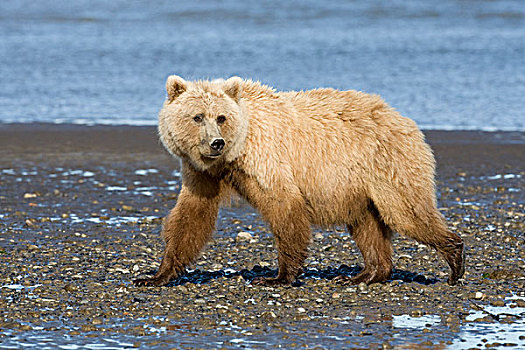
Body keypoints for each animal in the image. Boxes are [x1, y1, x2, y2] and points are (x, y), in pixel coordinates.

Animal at [133, 75, 464, 286]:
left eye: (221, 117)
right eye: (198, 116)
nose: (216, 143)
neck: (234, 153)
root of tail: (404, 120)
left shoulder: (266, 158)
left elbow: (284, 207)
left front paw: (277, 277)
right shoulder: (203, 174)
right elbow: (190, 216)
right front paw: (156, 275)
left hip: (388, 166)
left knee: (408, 213)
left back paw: (454, 261)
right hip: (358, 186)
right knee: (367, 226)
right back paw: (365, 274)